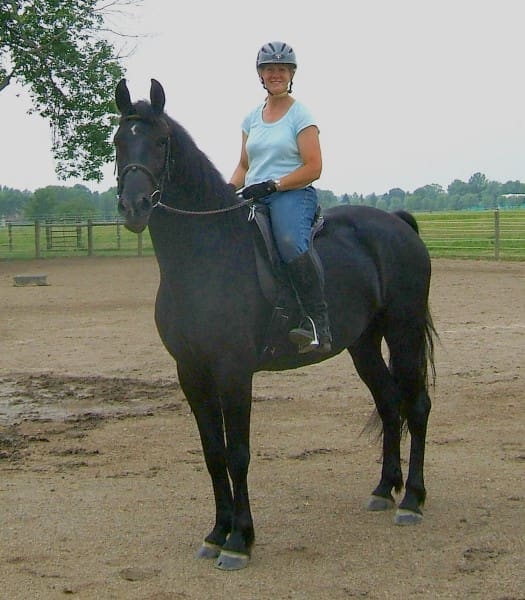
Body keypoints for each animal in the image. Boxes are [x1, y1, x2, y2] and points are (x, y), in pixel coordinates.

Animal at [115, 79, 438, 572]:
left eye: (161, 142)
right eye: (118, 141)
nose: (133, 206)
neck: (204, 257)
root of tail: (397, 225)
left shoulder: (233, 372)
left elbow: (238, 454)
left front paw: (239, 541)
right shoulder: (191, 372)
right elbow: (213, 454)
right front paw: (216, 533)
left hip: (403, 332)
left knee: (416, 406)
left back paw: (412, 501)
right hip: (363, 343)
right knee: (388, 403)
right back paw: (384, 490)